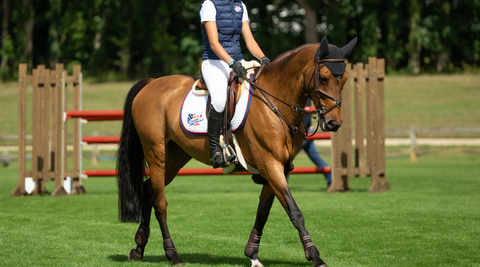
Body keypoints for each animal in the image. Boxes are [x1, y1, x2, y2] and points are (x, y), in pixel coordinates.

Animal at [116, 36, 356, 267]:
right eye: (323, 78)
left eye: (344, 79)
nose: (334, 123)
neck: (275, 101)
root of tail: (151, 83)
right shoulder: (270, 164)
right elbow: (294, 212)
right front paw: (314, 256)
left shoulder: (278, 168)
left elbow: (263, 212)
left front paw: (252, 254)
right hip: (156, 152)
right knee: (160, 202)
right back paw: (172, 254)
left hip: (175, 157)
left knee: (149, 190)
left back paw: (139, 248)